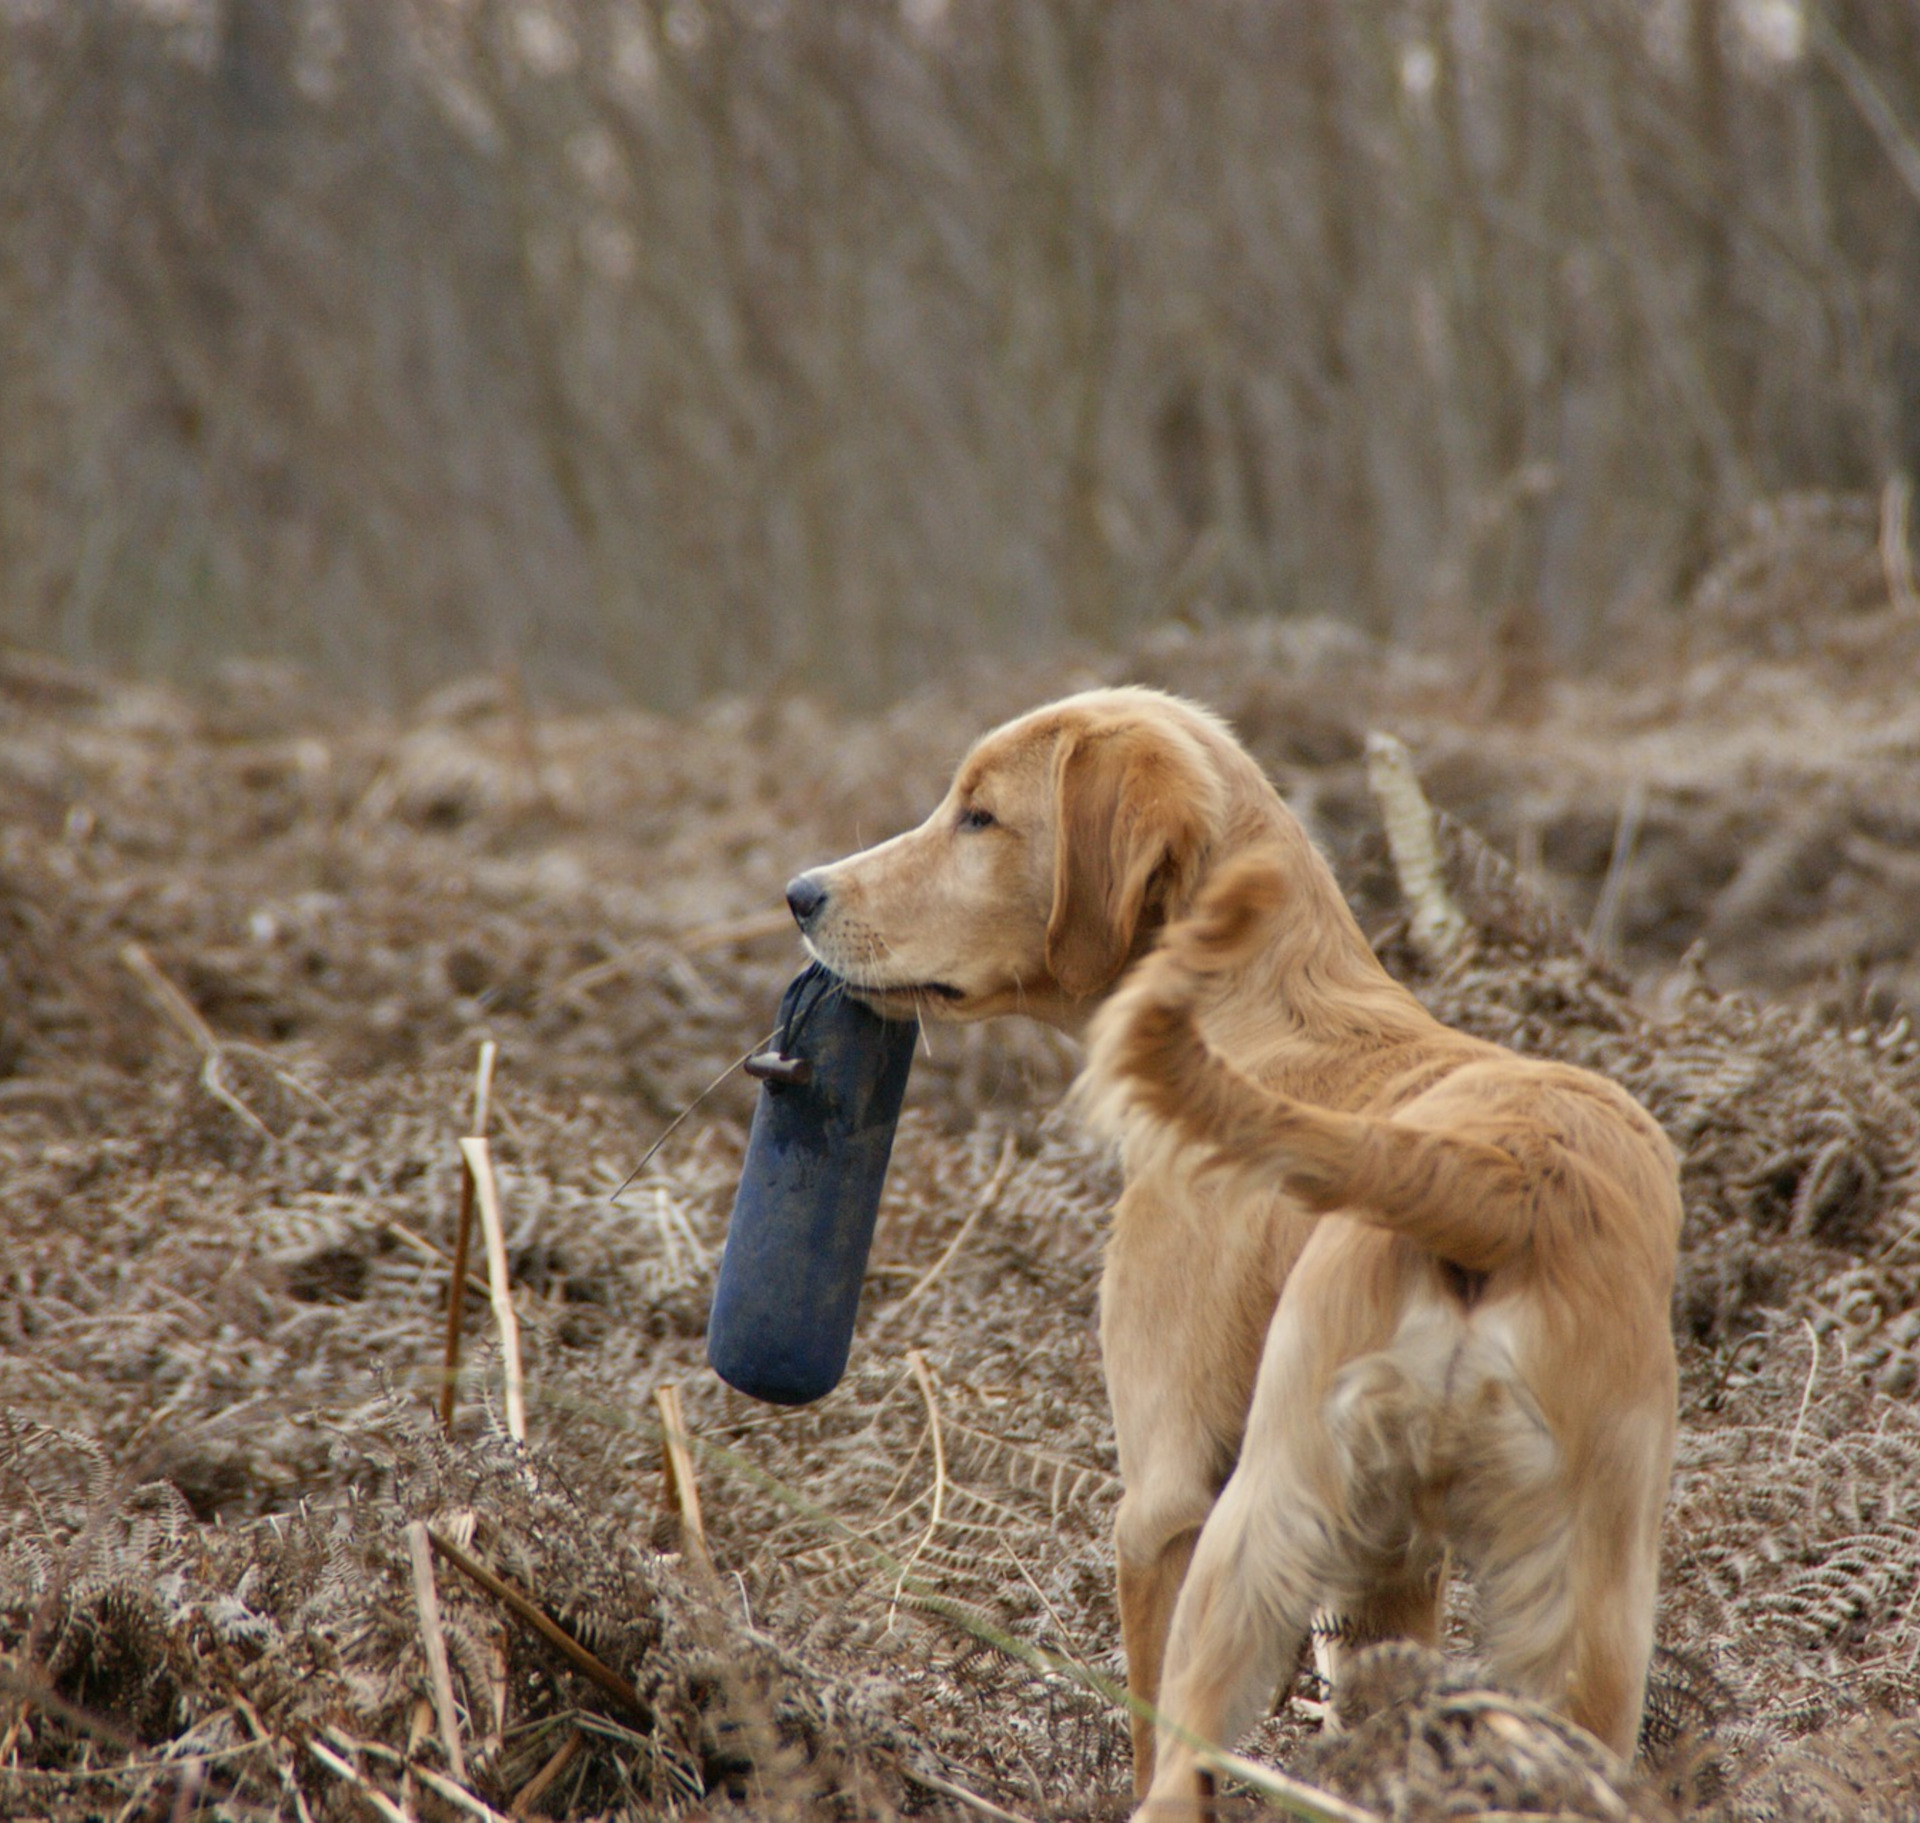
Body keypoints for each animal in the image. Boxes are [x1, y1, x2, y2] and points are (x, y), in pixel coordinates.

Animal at [779, 683, 1681, 1805]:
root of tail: (1503, 1173)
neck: (1264, 1007)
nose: (799, 892)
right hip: (1587, 1618)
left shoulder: (1162, 1498)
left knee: (1176, 1772)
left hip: (1251, 1535)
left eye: (978, 816)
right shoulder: (1394, 1568)